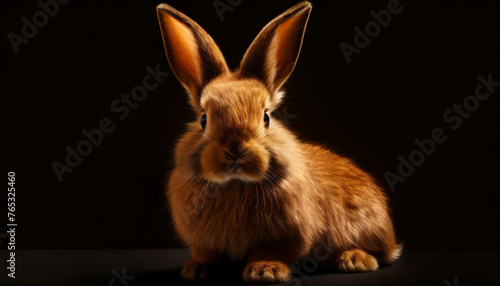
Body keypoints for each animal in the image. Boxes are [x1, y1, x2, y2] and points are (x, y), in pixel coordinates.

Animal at [156, 0, 402, 284]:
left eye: (266, 117)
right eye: (204, 119)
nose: (235, 149)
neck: (236, 184)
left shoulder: (285, 235)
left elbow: (273, 251)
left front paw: (266, 271)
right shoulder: (204, 242)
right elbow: (207, 254)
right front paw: (197, 269)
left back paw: (354, 259)